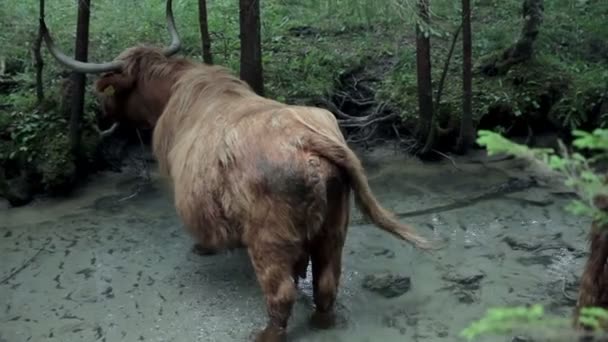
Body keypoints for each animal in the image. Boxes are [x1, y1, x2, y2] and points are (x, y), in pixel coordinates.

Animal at [39, 1, 436, 340]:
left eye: (110, 92)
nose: (100, 115)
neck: (173, 92)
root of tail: (308, 139)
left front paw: (202, 248)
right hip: (335, 226)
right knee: (326, 283)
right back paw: (321, 321)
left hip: (268, 236)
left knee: (281, 292)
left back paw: (265, 334)